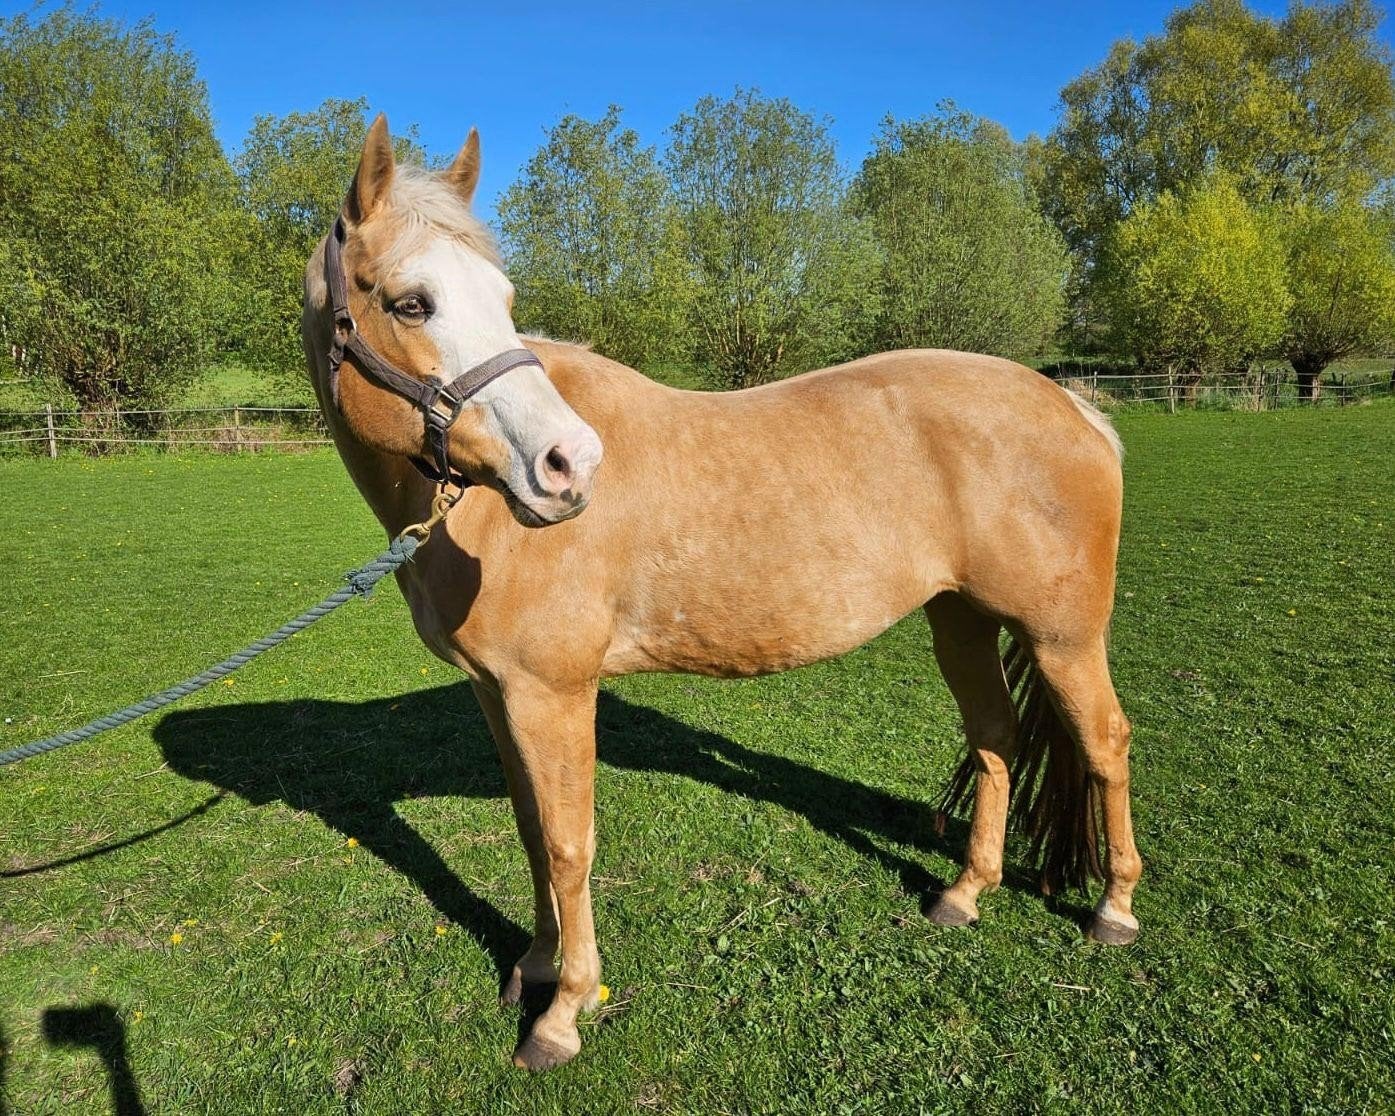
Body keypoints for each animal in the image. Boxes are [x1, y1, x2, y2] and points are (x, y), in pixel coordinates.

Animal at [300, 116, 1141, 1071]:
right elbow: (529, 832)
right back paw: (964, 893)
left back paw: (1113, 910)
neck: (473, 511)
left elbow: (567, 845)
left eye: (503, 299)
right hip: (958, 622)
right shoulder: (500, 695)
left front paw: (563, 1012)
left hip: (1061, 637)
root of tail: (1076, 410)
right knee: (995, 741)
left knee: (1105, 743)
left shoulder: (552, 694)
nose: (568, 467)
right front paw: (535, 968)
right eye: (412, 303)